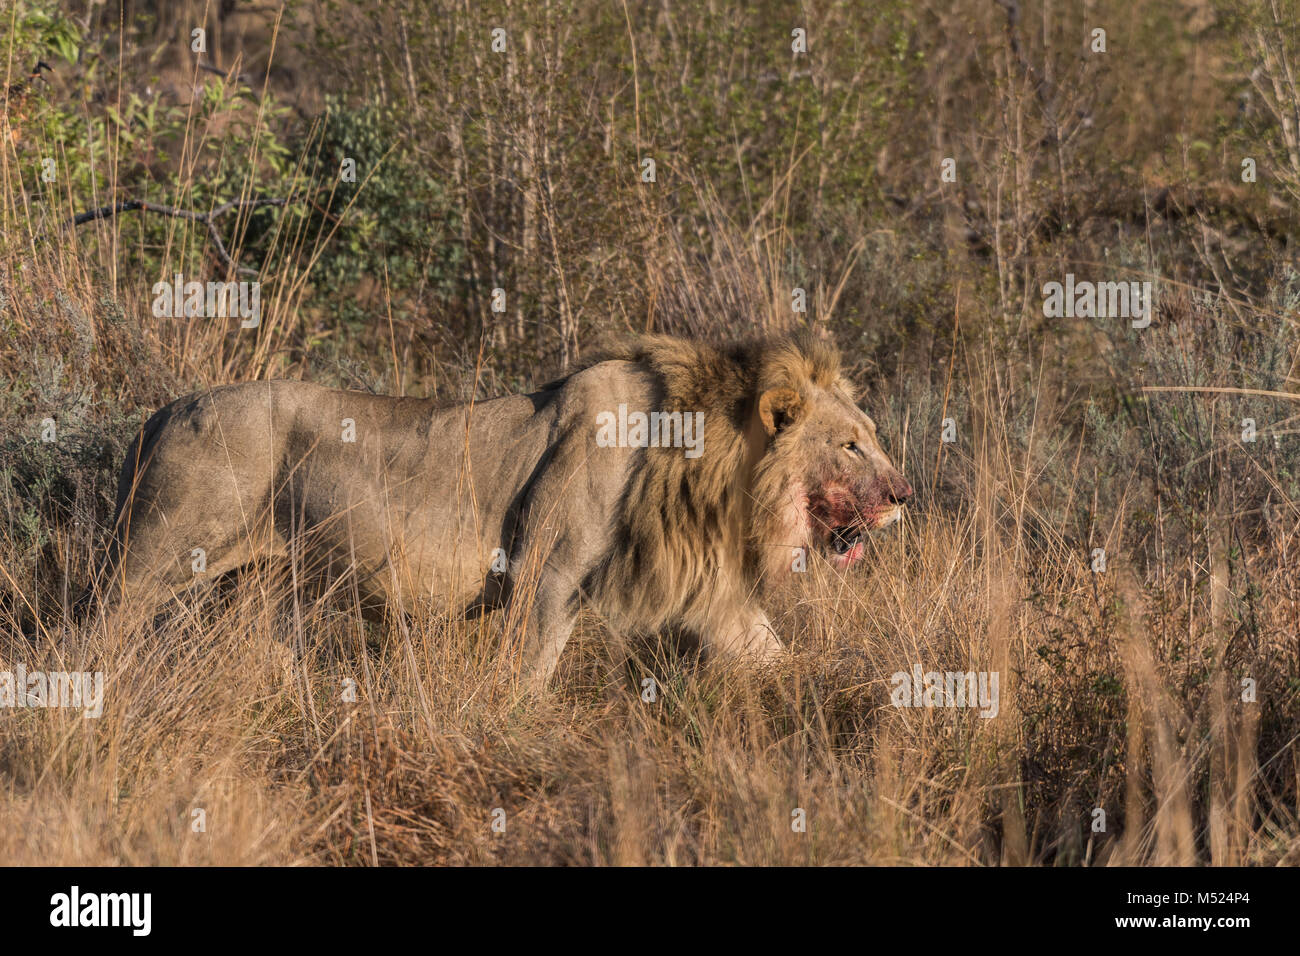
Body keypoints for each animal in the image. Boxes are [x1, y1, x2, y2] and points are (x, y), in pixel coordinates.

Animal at [89, 335, 915, 686]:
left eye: (870, 436)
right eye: (849, 445)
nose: (906, 495)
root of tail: (161, 412)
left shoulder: (715, 597)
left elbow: (774, 653)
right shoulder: (545, 576)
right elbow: (530, 673)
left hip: (252, 586)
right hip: (153, 560)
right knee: (101, 627)